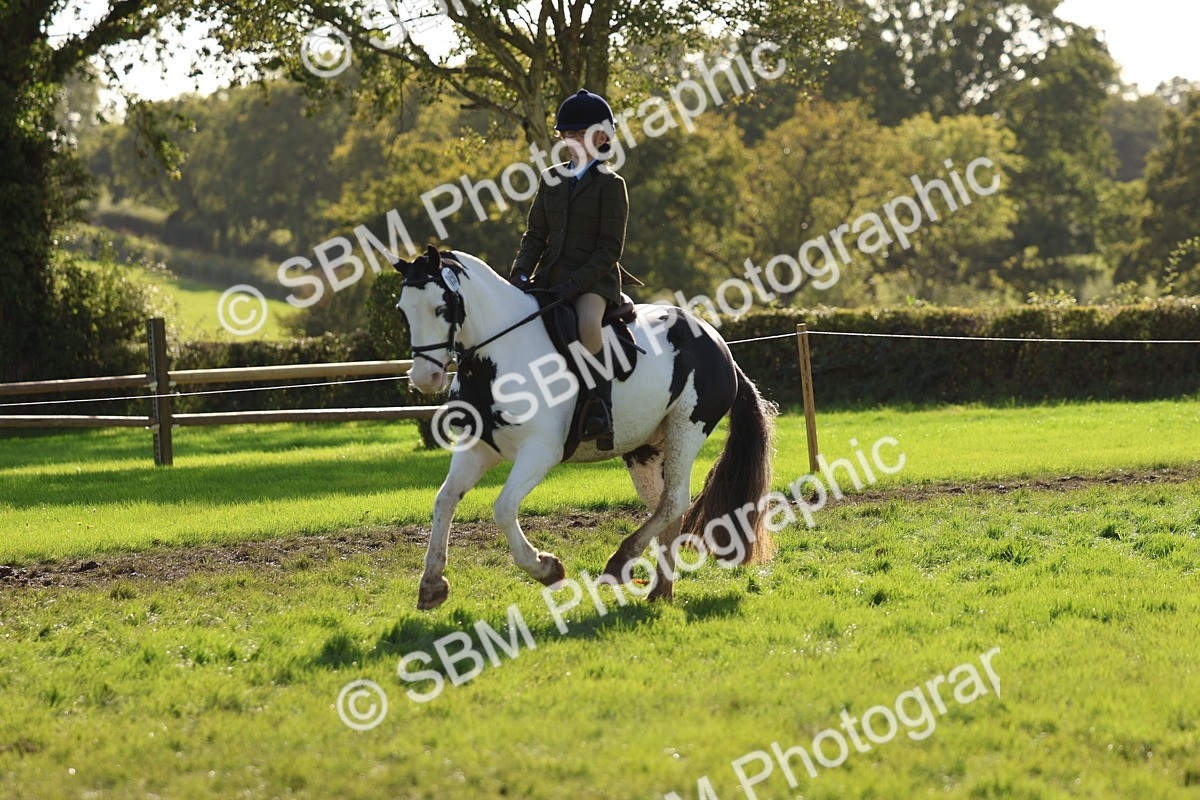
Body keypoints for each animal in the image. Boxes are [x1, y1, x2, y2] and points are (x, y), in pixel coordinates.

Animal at [394, 244, 777, 610]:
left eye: (441, 308)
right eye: (402, 310)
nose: (424, 378)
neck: (498, 356)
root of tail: (718, 342)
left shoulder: (540, 451)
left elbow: (502, 508)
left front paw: (546, 568)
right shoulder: (477, 449)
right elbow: (444, 501)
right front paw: (432, 585)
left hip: (687, 427)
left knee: (674, 500)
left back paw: (621, 562)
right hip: (646, 448)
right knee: (668, 507)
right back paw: (660, 592)